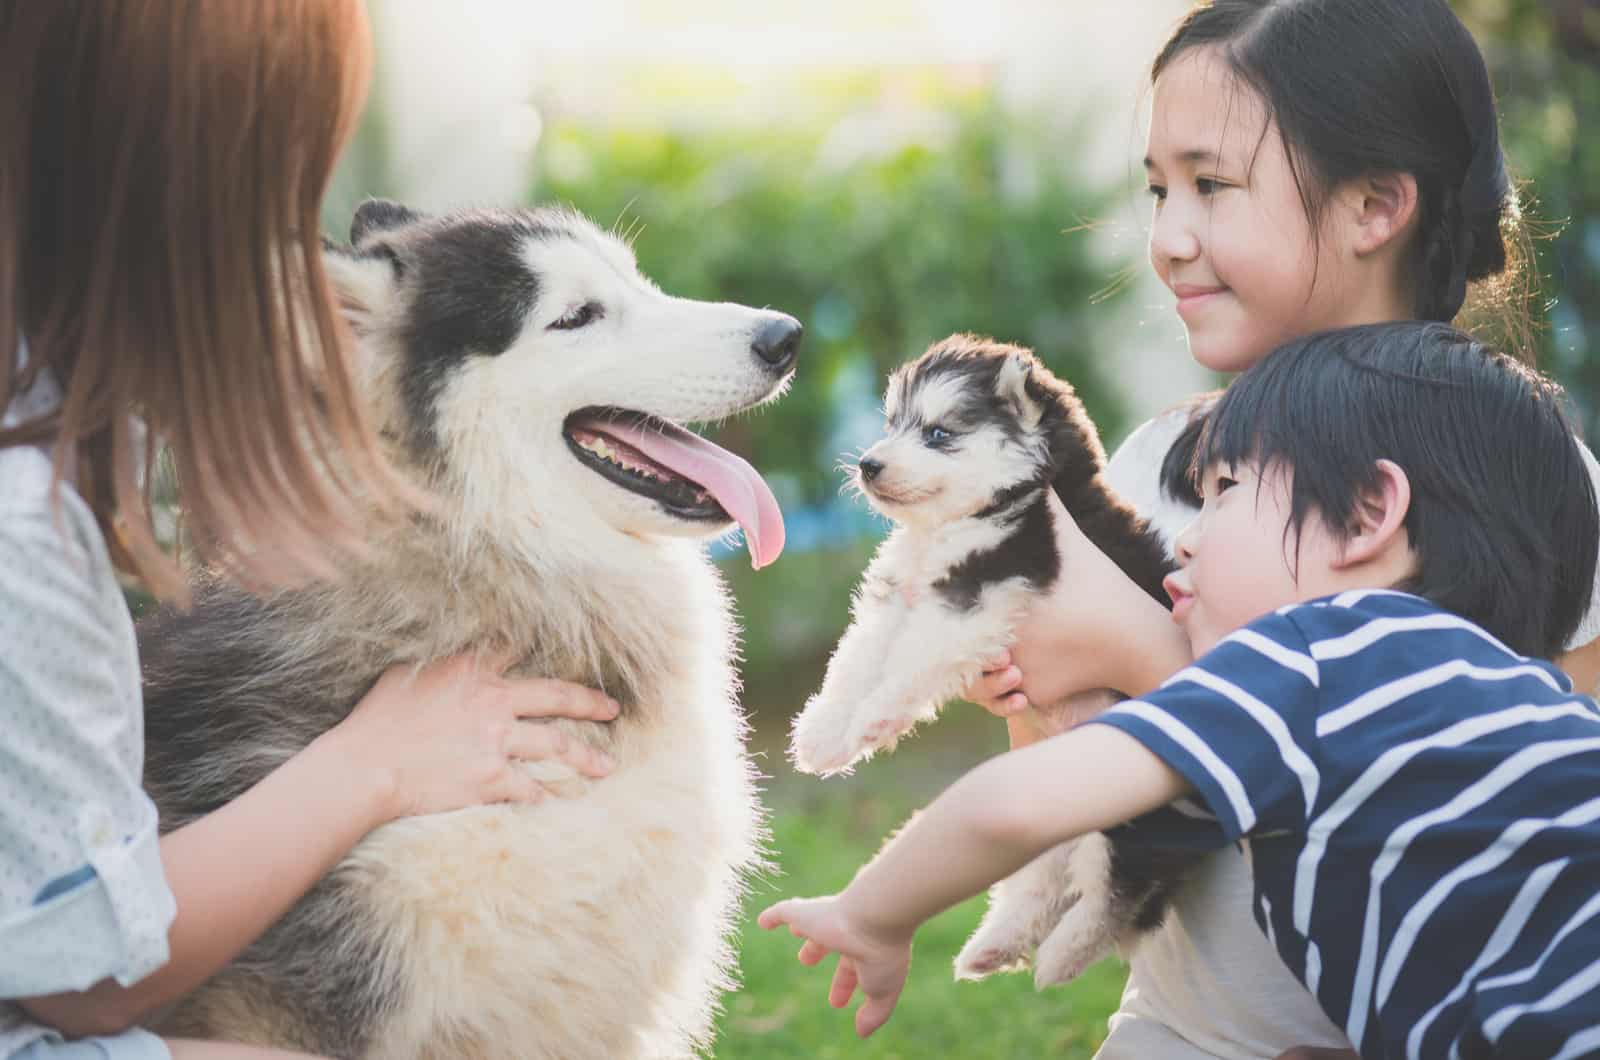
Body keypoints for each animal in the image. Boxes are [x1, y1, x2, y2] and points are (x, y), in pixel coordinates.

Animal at [787, 334, 1190, 986]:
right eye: (893, 424)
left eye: (938, 433)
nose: (868, 464)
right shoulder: (898, 598)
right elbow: (855, 661)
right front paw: (825, 735)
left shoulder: (980, 588)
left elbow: (908, 663)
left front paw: (873, 719)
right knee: (1045, 877)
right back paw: (994, 945)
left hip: (1129, 795)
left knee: (1124, 881)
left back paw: (1060, 957)